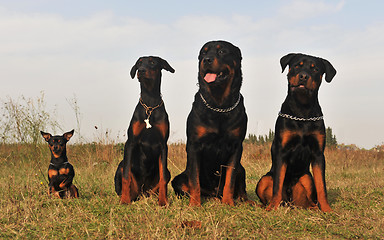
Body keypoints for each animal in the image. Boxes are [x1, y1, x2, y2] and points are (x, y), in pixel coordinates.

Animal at [114, 55, 174, 206]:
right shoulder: (130, 142)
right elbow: (126, 176)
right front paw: (124, 201)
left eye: (152, 62)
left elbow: (163, 178)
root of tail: (141, 192)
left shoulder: (163, 145)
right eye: (139, 63)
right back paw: (126, 197)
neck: (150, 104)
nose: (140, 71)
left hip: (158, 181)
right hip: (121, 167)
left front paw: (163, 202)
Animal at [171, 40, 249, 205]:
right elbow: (194, 179)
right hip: (178, 178)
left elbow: (230, 179)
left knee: (241, 189)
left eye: (222, 52)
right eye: (203, 53)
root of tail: (213, 194)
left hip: (242, 168)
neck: (219, 105)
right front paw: (194, 204)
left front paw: (228, 203)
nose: (206, 60)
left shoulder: (236, 146)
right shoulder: (194, 145)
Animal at [256, 53, 334, 212]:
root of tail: (289, 202)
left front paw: (327, 209)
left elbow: (321, 186)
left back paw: (314, 207)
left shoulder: (318, 154)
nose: (303, 76)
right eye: (297, 65)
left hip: (306, 178)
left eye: (315, 69)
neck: (302, 111)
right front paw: (272, 208)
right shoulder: (282, 151)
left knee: (309, 198)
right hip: (264, 179)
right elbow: (277, 185)